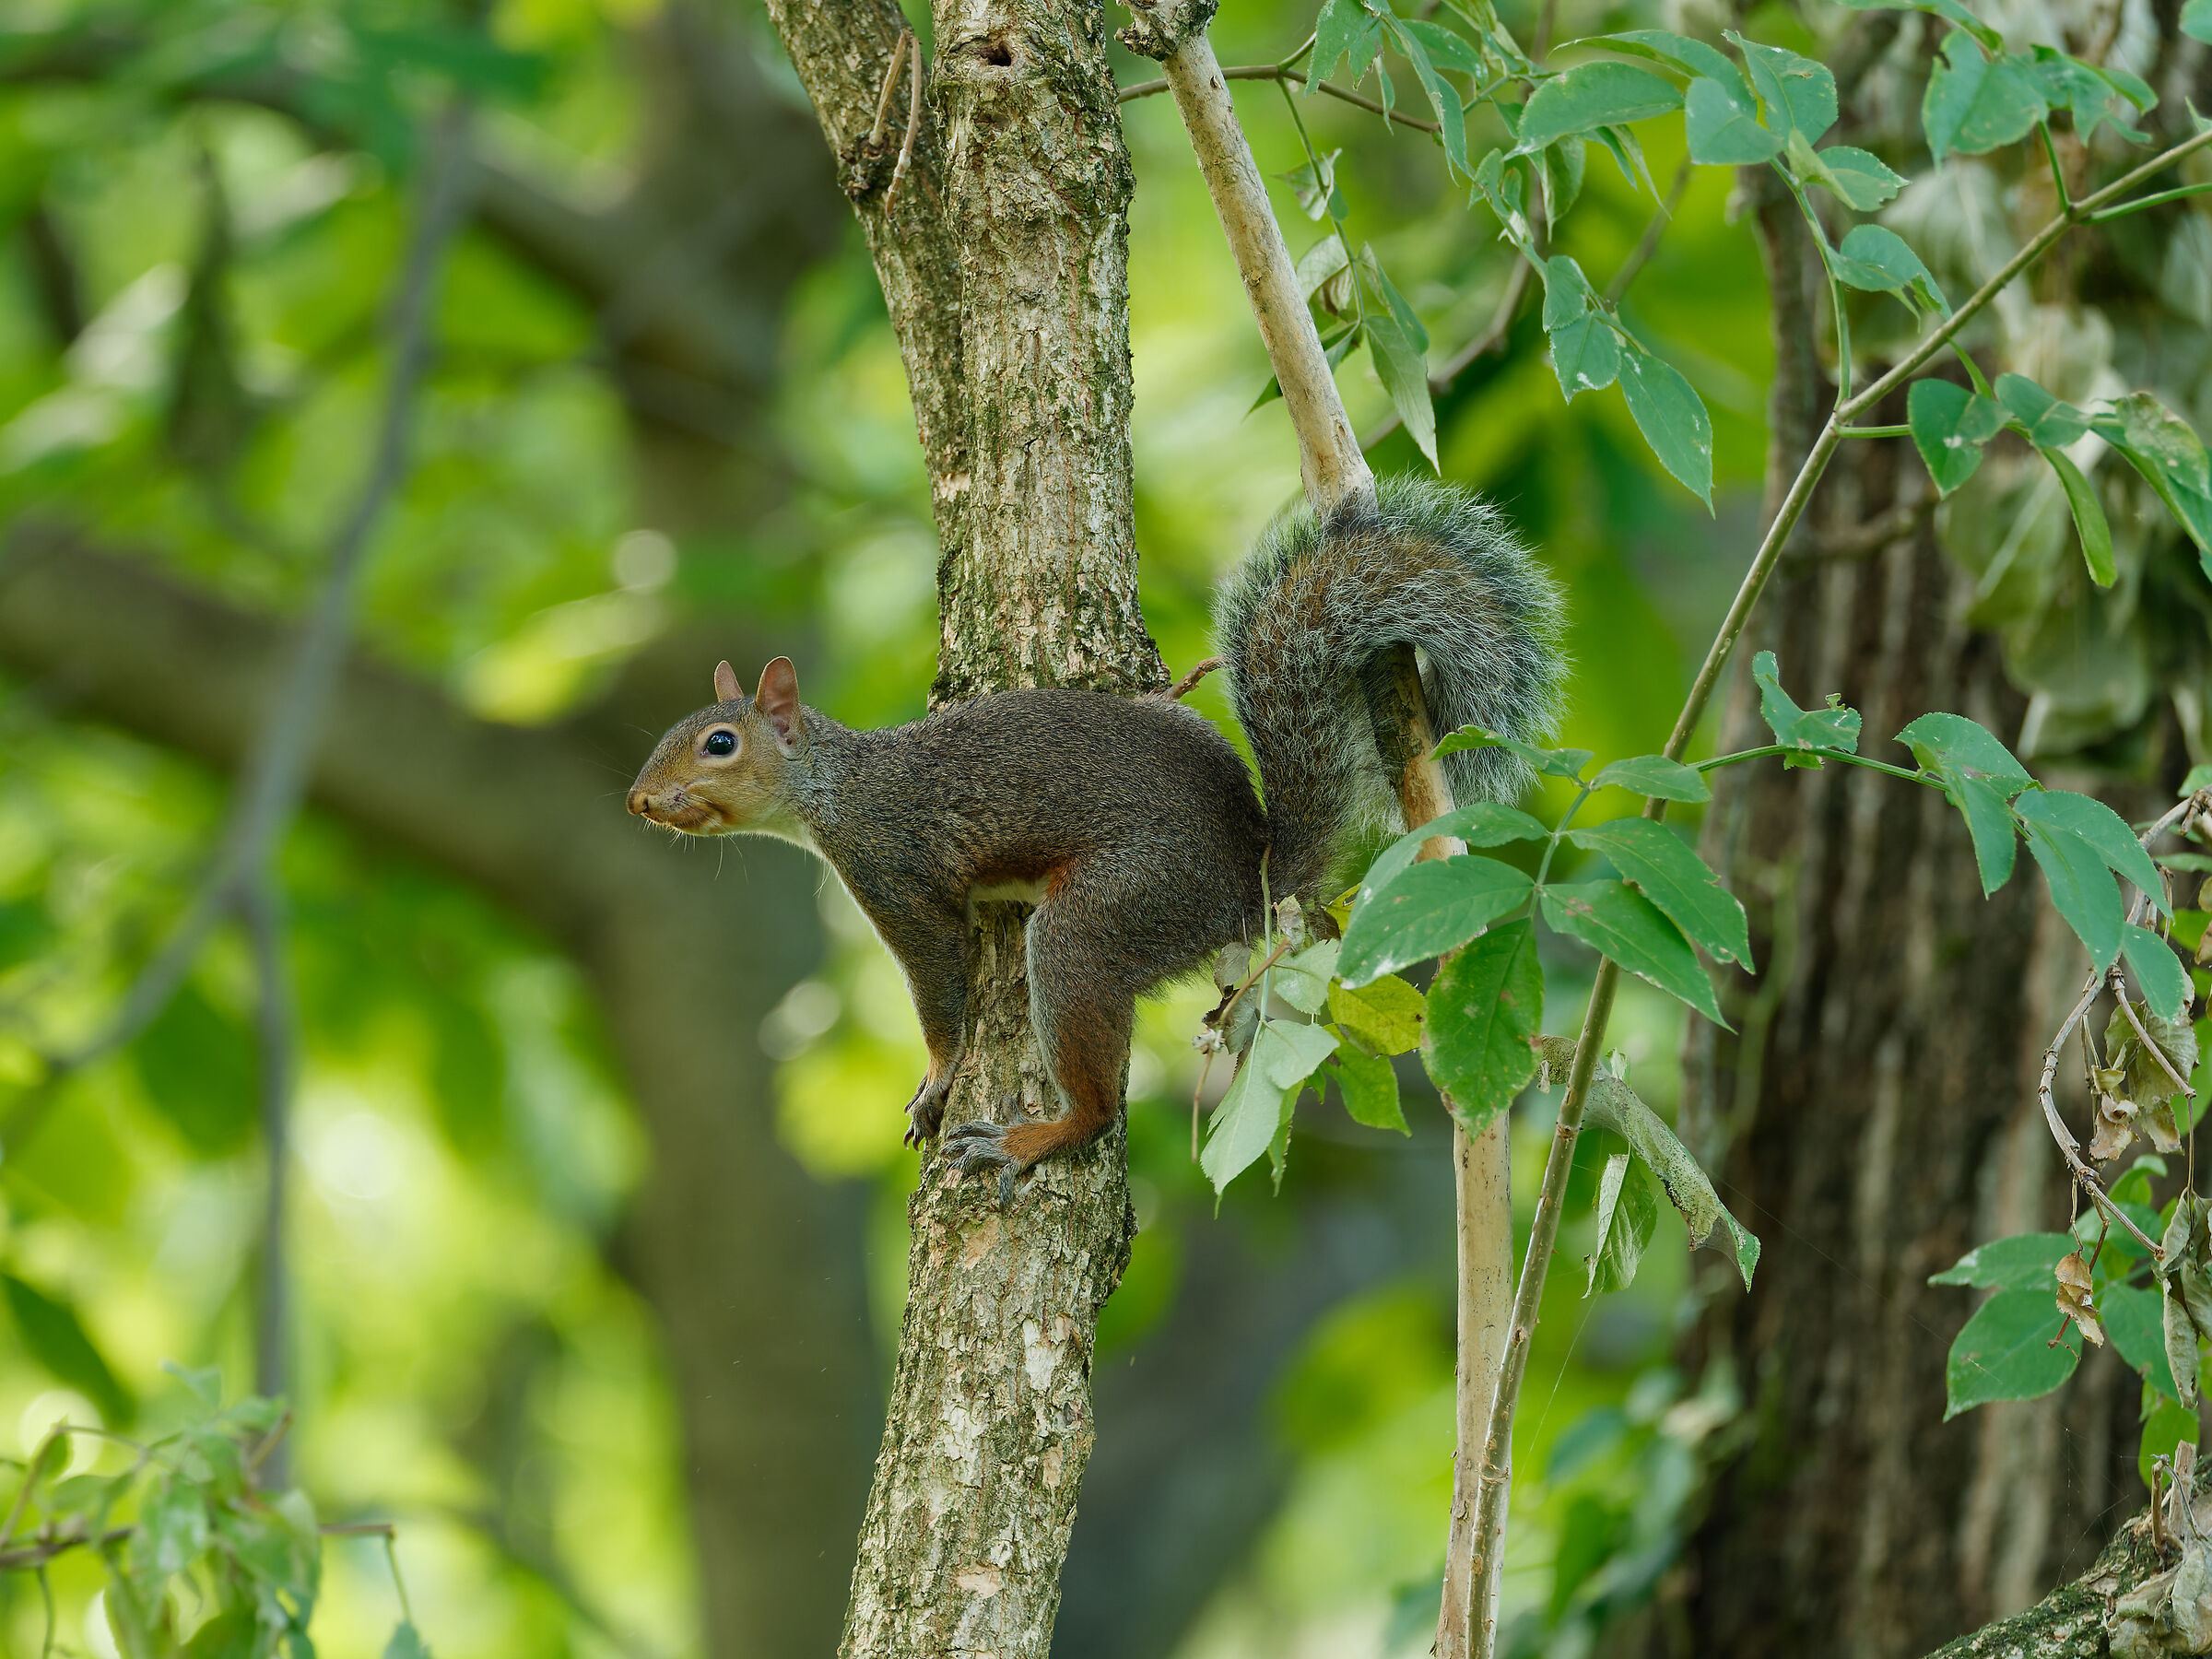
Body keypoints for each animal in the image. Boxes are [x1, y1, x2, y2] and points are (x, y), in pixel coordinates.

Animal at [627, 477, 1565, 1197]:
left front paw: (936, 1079)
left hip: (1112, 912)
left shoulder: (895, 873)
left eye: (720, 744)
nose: (638, 800)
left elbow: (939, 989)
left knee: (1098, 1094)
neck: (838, 788)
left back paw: (1035, 1136)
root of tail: (1248, 880)